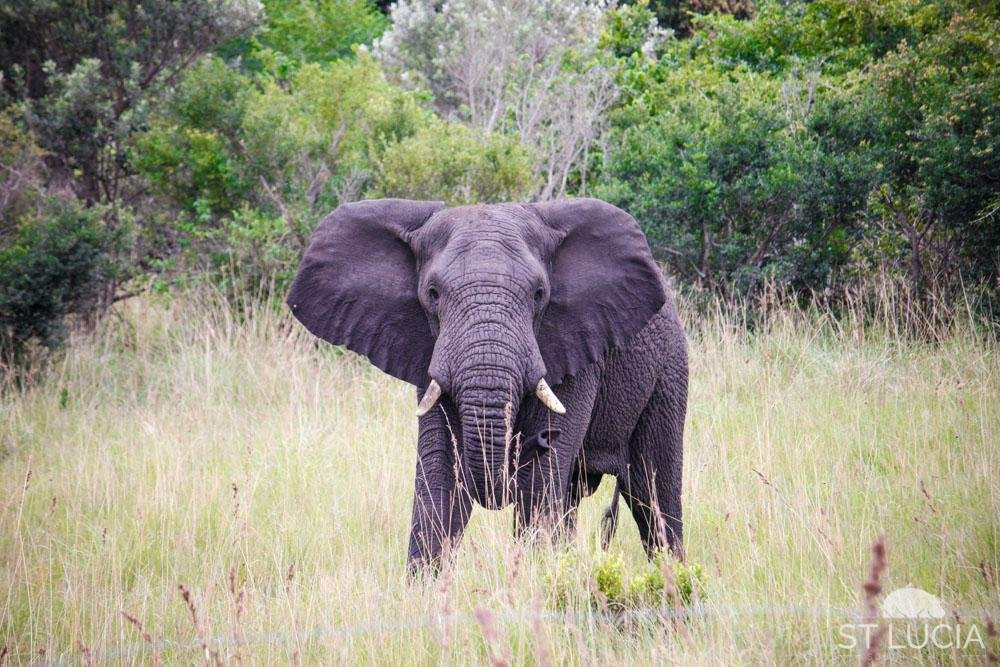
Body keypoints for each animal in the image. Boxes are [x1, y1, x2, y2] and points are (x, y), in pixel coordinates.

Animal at [286, 196, 684, 572]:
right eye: (432, 293)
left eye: (539, 294)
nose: (540, 438)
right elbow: (442, 471)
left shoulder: (577, 349)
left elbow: (539, 483)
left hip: (669, 370)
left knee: (654, 493)